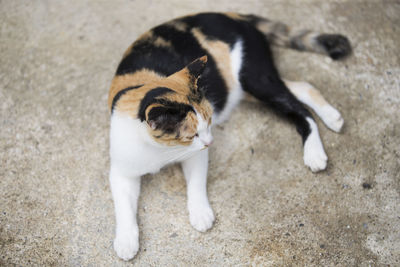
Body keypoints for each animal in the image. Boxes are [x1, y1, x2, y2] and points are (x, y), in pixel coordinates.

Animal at [108, 11, 352, 260]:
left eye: (209, 122)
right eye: (192, 135)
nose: (210, 142)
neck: (160, 150)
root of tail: (233, 14)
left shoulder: (197, 155)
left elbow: (196, 183)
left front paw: (201, 213)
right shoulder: (121, 171)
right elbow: (124, 206)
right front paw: (126, 241)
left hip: (254, 77)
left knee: (299, 109)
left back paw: (315, 151)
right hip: (252, 85)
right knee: (301, 87)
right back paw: (332, 117)